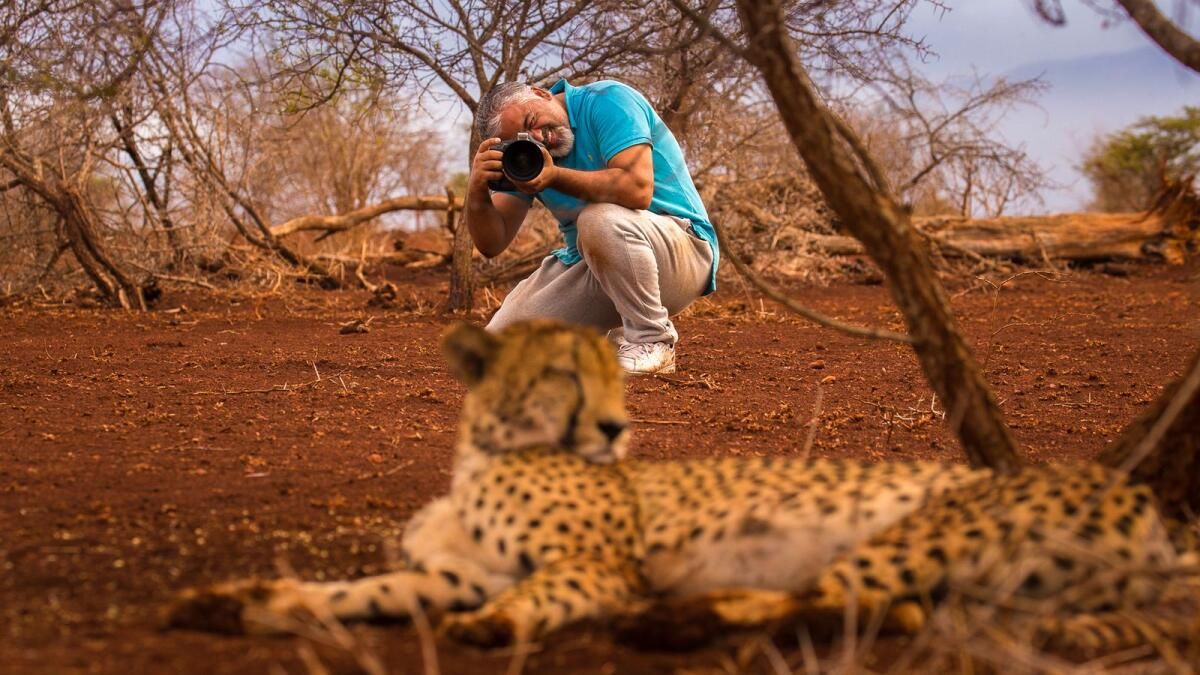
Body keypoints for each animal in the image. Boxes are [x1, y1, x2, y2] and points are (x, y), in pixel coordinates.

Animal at [168, 319, 1194, 656]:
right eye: (564, 374)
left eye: (616, 377)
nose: (617, 429)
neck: (481, 453)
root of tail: (1156, 514)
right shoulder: (453, 570)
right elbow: (357, 591)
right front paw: (243, 599)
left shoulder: (591, 564)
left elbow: (541, 592)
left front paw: (499, 627)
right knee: (889, 612)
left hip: (933, 522)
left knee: (838, 599)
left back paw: (676, 622)